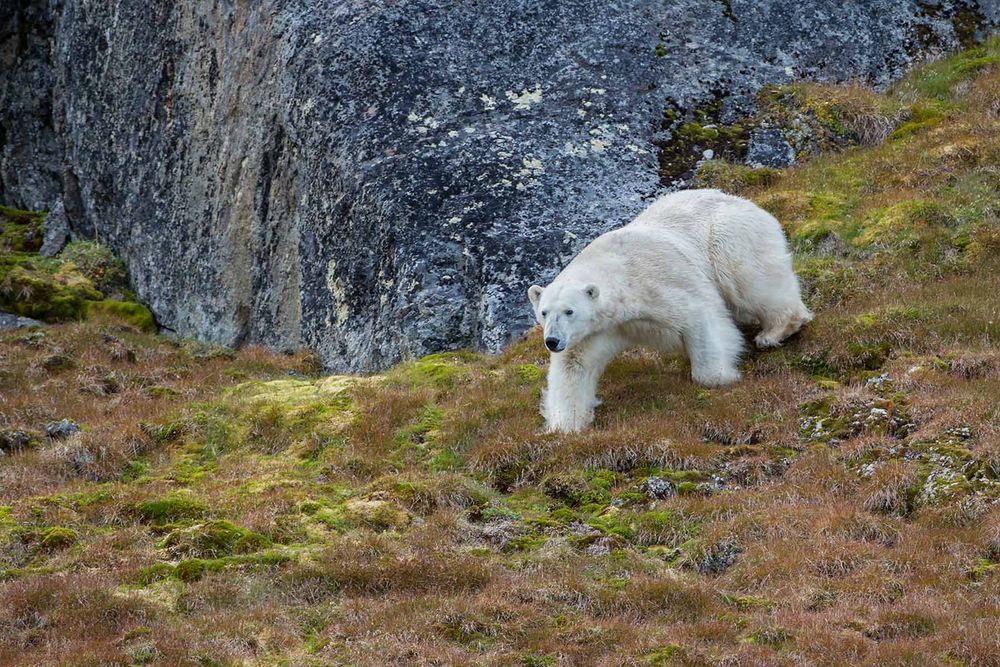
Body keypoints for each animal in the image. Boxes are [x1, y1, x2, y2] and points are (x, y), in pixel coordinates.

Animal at [527, 188, 812, 433]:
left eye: (569, 311)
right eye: (544, 312)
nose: (552, 341)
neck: (616, 270)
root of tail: (747, 202)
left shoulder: (657, 285)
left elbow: (699, 317)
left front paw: (718, 377)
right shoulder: (597, 329)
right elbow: (574, 364)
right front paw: (566, 424)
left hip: (729, 237)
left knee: (749, 281)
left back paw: (774, 331)